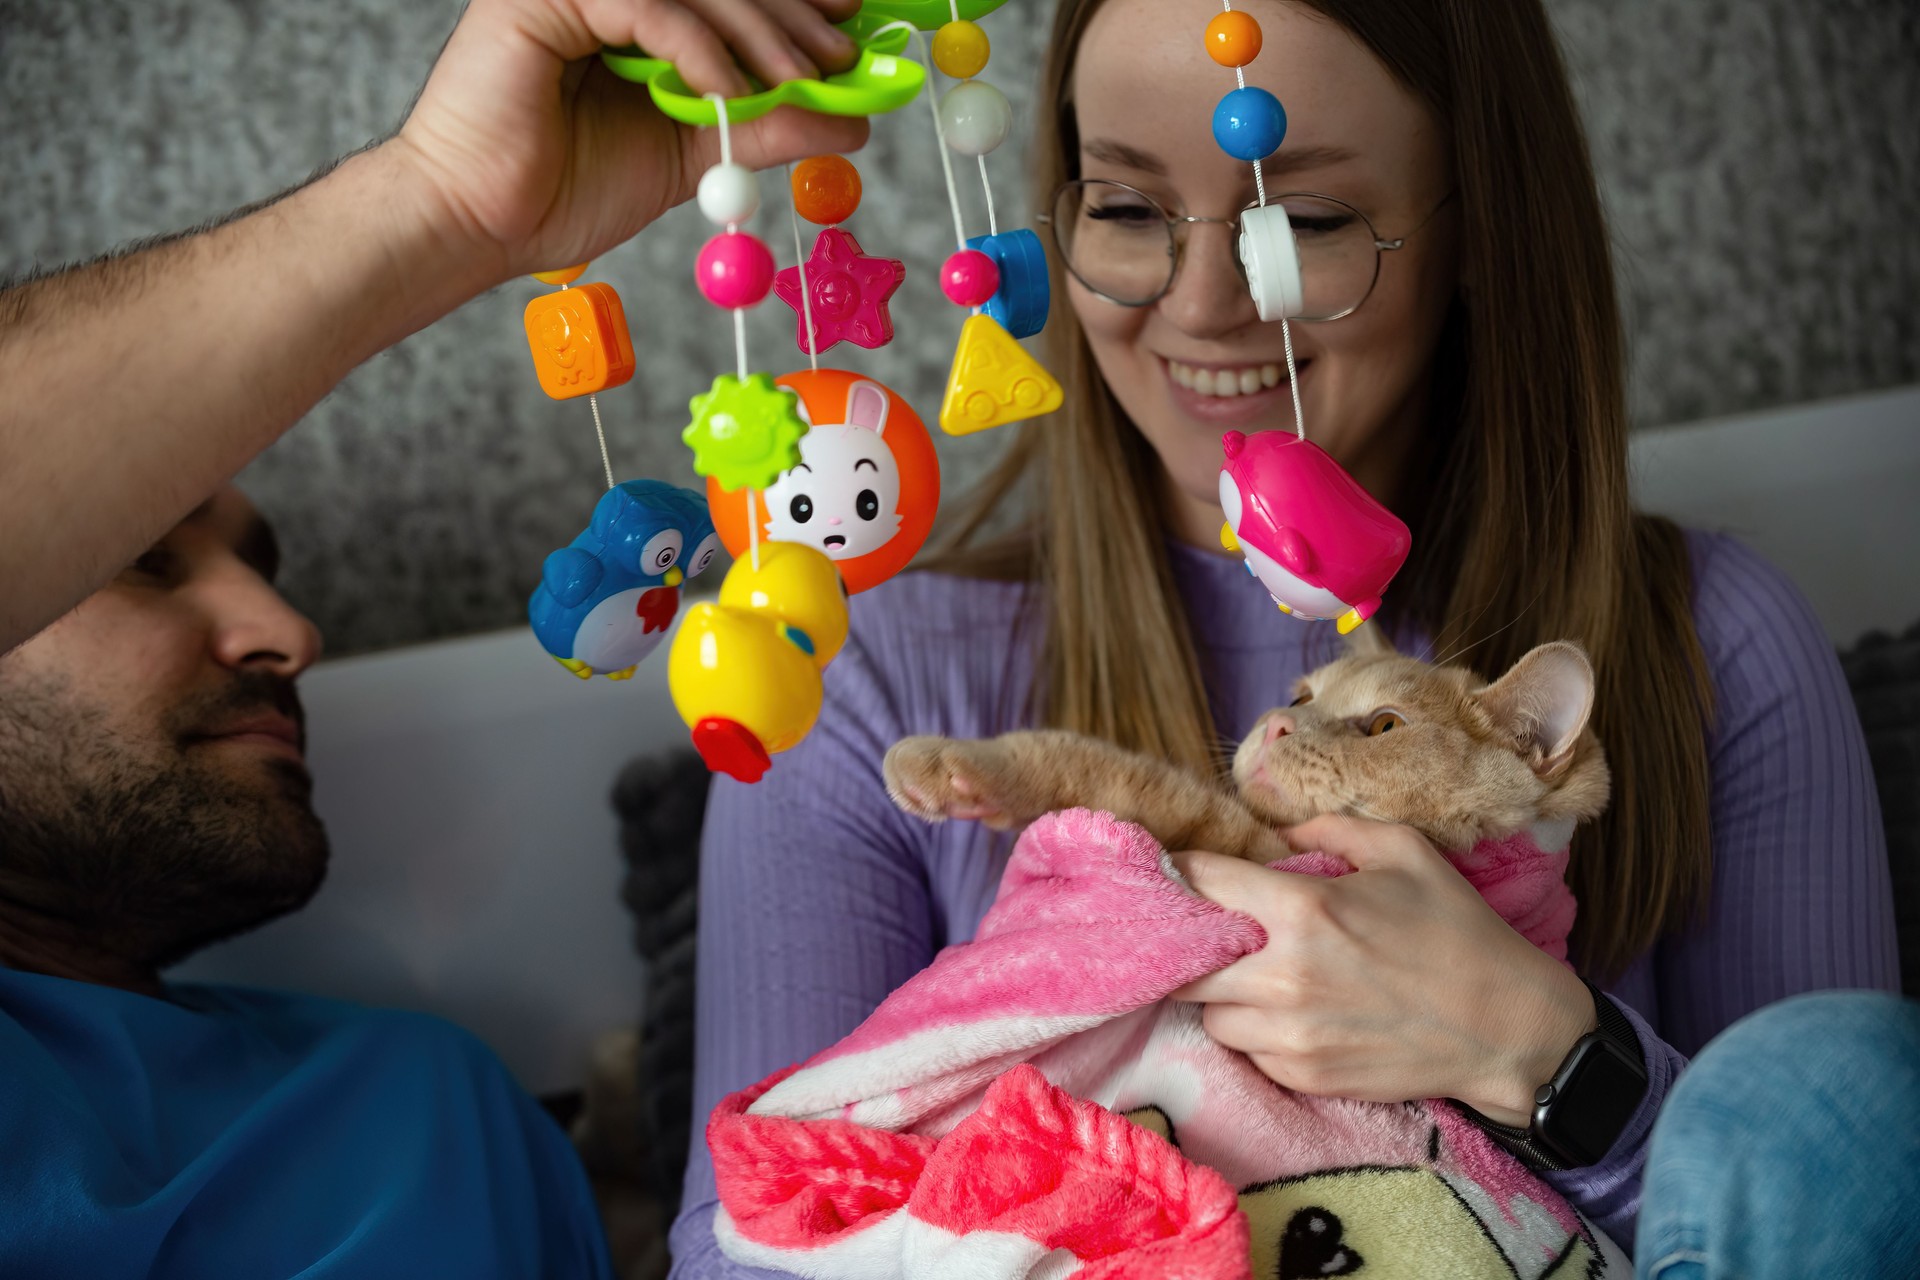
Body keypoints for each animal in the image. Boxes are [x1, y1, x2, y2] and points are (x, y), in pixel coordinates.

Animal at [879, 629, 1605, 859]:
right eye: (1304, 697)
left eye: (1385, 727)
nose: (1277, 723)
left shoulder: (1239, 838)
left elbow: (1090, 762)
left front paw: (946, 765)